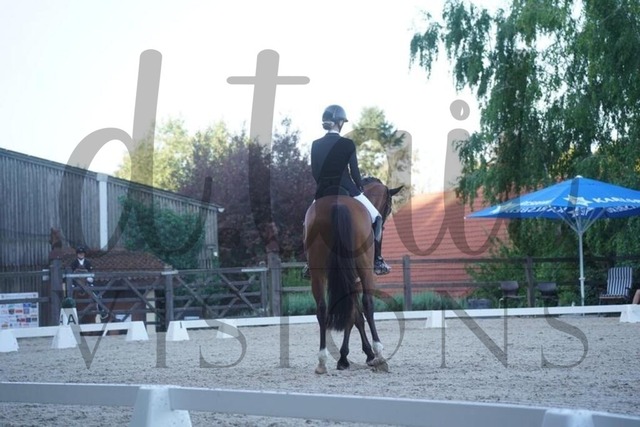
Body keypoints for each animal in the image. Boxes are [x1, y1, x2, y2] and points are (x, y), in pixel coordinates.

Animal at [304, 177, 402, 374]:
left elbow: (354, 315)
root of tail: (337, 204)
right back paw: (380, 355)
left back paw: (322, 362)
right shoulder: (356, 279)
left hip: (318, 272)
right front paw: (365, 355)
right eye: (389, 206)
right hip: (363, 268)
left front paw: (346, 358)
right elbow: (357, 315)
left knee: (322, 308)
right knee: (368, 304)